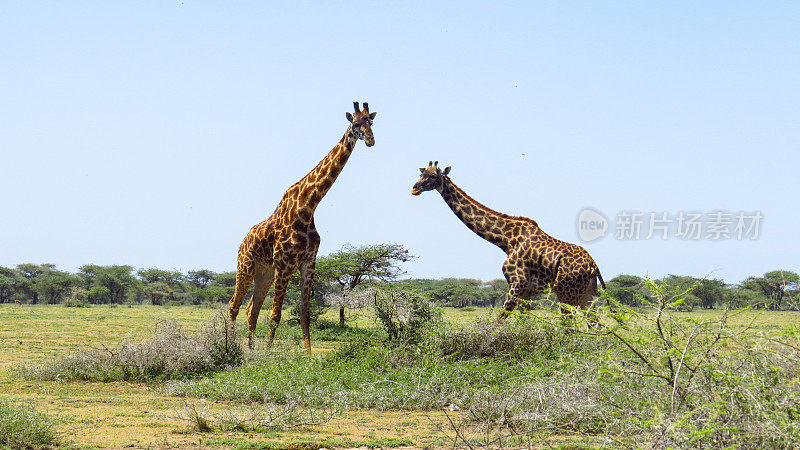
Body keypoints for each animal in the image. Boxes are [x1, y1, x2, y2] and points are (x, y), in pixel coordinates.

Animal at [228, 103, 378, 352]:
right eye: (356, 123)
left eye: (371, 122)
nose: (370, 140)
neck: (308, 206)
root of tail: (242, 242)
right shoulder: (285, 265)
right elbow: (276, 315)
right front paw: (268, 353)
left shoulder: (308, 263)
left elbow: (305, 313)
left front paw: (307, 355)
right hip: (246, 266)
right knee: (234, 304)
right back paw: (231, 346)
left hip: (264, 272)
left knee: (251, 308)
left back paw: (250, 349)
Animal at [412, 163, 608, 316]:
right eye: (421, 173)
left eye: (433, 175)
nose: (415, 188)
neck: (506, 240)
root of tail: (593, 265)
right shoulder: (526, 292)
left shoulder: (516, 285)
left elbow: (499, 321)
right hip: (586, 295)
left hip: (566, 293)